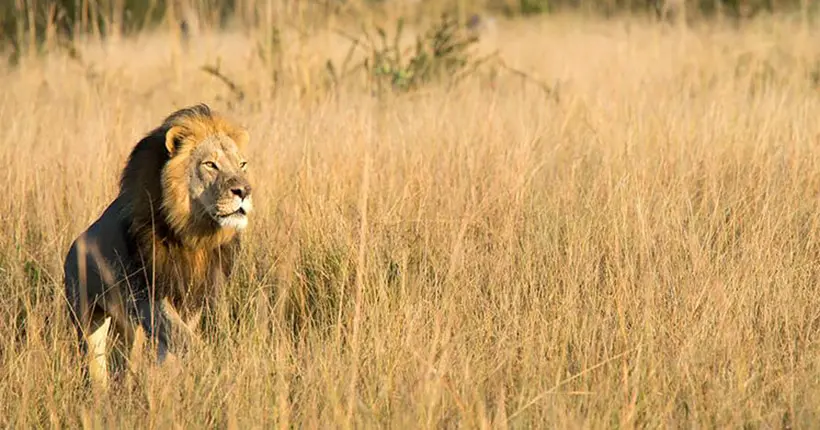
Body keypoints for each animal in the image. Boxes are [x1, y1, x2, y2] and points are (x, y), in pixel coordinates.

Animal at [63, 105, 251, 390]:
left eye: (242, 164)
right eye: (210, 164)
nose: (244, 191)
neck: (193, 234)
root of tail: (73, 248)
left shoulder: (194, 295)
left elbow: (175, 340)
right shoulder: (147, 294)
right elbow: (180, 336)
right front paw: (207, 364)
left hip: (127, 326)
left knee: (126, 357)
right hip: (86, 313)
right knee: (95, 357)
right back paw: (100, 391)